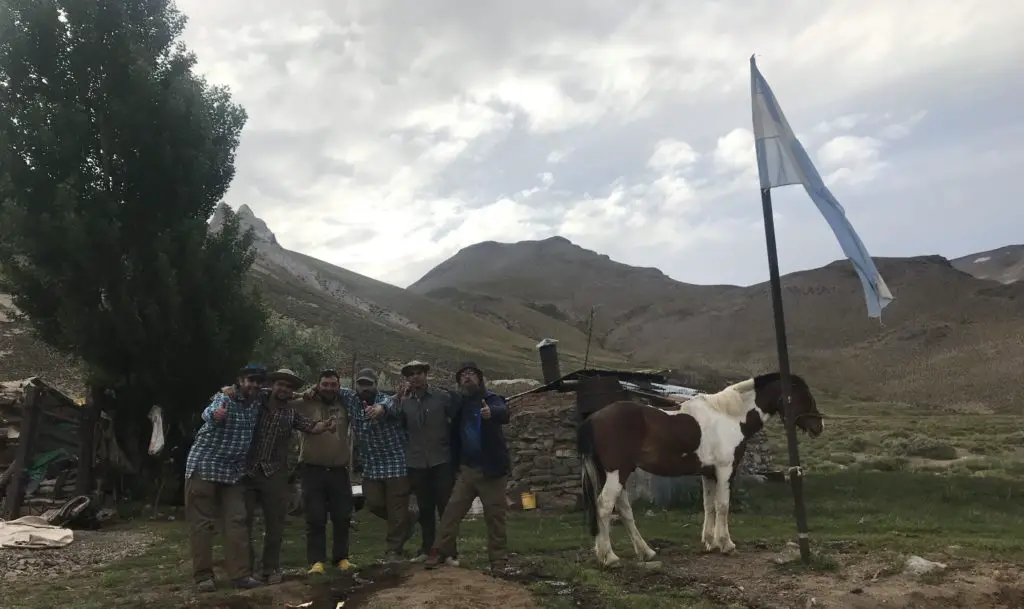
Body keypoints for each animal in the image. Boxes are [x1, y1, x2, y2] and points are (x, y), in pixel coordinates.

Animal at [577, 372, 823, 569]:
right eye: (803, 395)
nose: (818, 427)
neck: (730, 416)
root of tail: (593, 418)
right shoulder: (725, 470)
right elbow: (723, 506)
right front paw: (726, 544)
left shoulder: (708, 473)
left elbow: (709, 506)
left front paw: (709, 542)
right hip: (616, 473)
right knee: (604, 506)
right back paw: (609, 557)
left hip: (615, 474)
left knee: (623, 510)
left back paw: (644, 552)